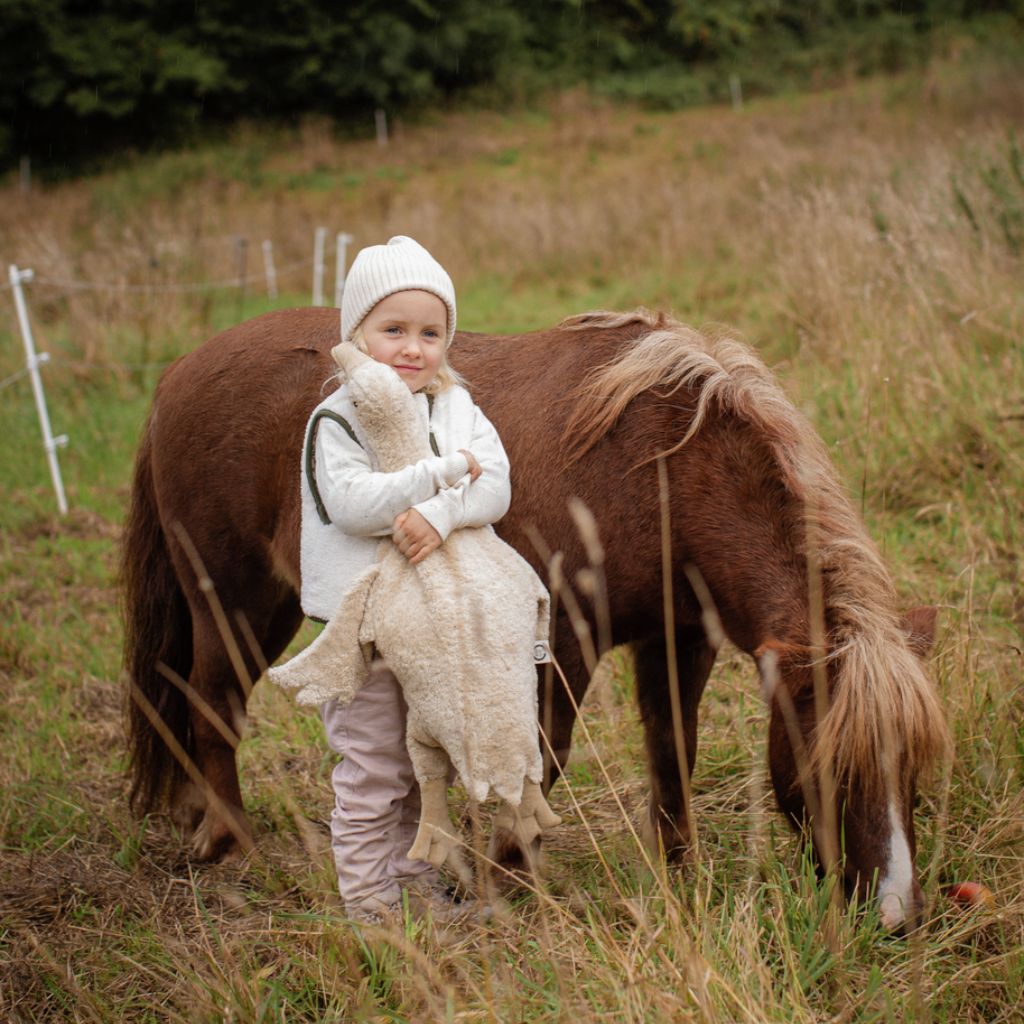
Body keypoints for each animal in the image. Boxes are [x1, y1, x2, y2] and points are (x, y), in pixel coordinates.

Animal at [121, 306, 950, 932]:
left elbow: (672, 751)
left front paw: (678, 871)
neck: (658, 464)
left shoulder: (679, 640)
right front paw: (511, 878)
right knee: (212, 703)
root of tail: (175, 376)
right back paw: (234, 844)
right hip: (233, 598)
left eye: (913, 766)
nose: (897, 916)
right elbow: (540, 758)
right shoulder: (565, 643)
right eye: (834, 765)